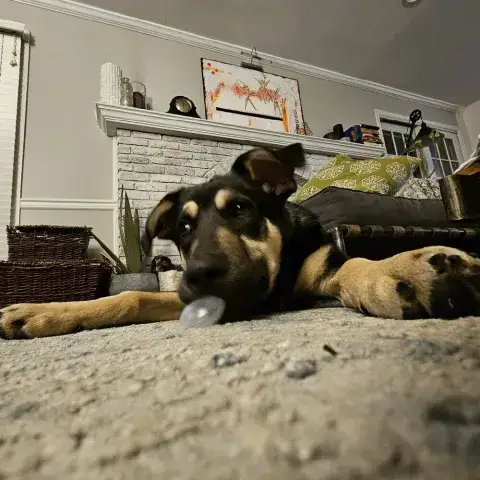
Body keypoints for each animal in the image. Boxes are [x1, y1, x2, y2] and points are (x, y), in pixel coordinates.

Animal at [1, 143, 480, 339]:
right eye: (183, 229)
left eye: (239, 209)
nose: (197, 275)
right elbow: (131, 297)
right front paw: (41, 312)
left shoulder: (323, 272)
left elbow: (353, 267)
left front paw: (403, 271)